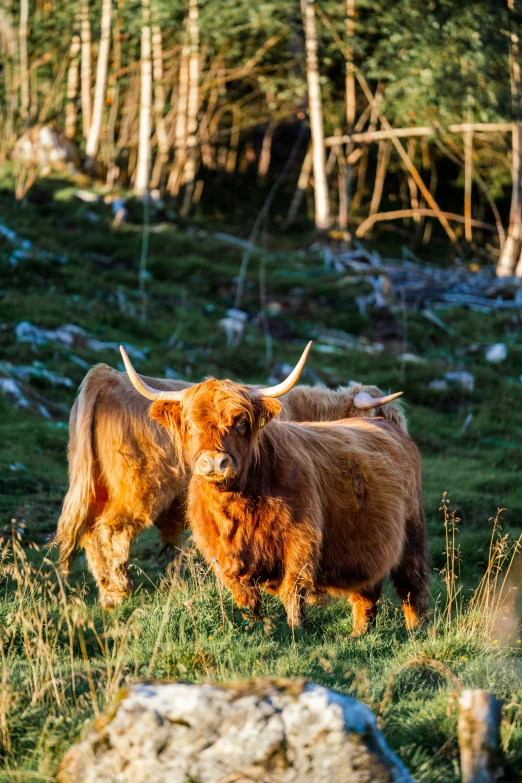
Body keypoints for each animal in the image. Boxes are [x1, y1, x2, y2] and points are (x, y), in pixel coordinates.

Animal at [122, 344, 426, 636]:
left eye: (242, 423)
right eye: (189, 424)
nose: (215, 462)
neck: (236, 506)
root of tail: (387, 425)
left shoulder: (300, 541)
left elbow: (293, 590)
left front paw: (296, 631)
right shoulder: (222, 554)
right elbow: (246, 599)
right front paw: (254, 629)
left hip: (412, 533)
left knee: (413, 585)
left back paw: (417, 631)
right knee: (367, 591)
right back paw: (359, 633)